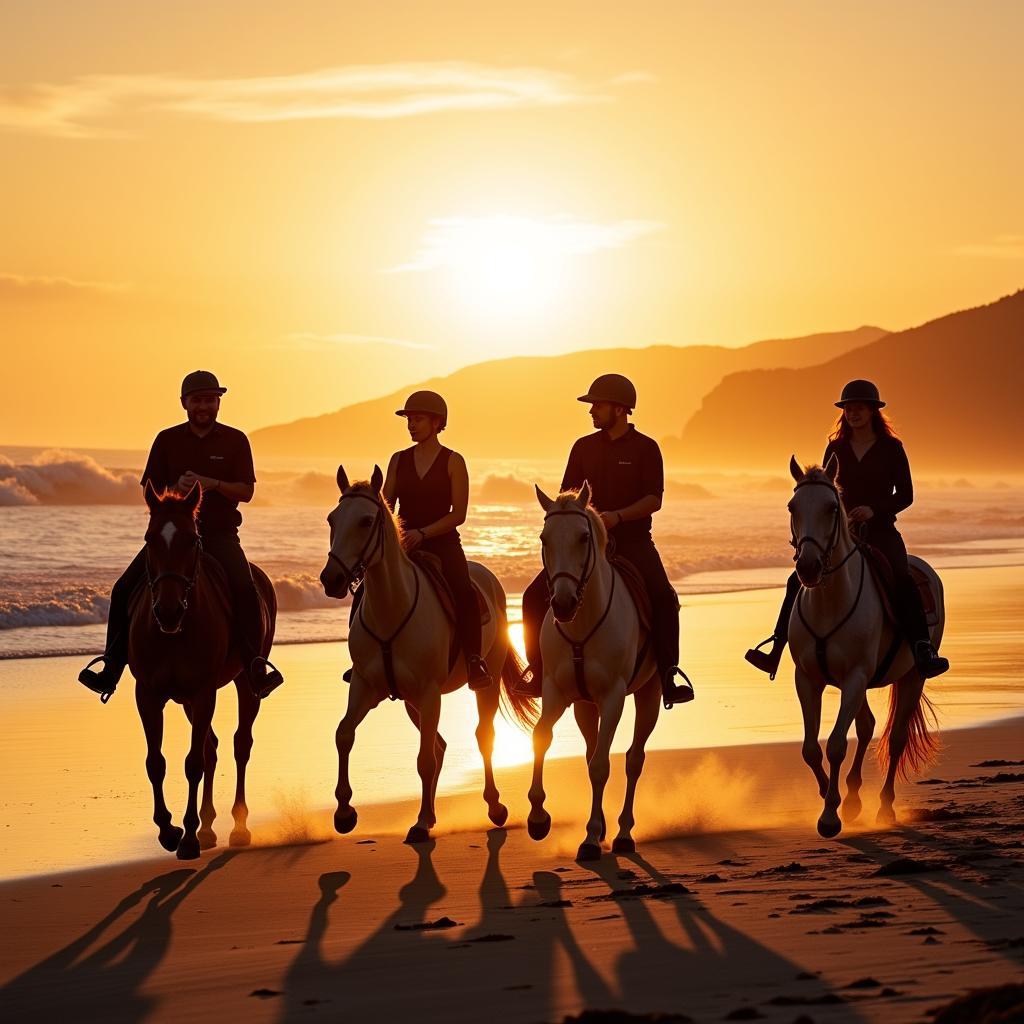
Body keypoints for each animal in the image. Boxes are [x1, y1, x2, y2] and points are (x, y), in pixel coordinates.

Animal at [131, 483, 276, 860]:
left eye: (191, 540)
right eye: (150, 538)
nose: (167, 611)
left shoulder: (203, 691)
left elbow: (193, 762)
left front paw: (187, 839)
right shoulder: (148, 695)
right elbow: (156, 762)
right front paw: (169, 830)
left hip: (245, 681)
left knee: (241, 744)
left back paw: (238, 827)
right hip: (185, 701)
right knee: (212, 746)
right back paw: (208, 826)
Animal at [321, 468, 540, 843]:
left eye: (366, 521)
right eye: (332, 519)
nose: (330, 579)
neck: (391, 608)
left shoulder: (429, 692)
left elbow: (424, 760)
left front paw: (421, 824)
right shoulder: (365, 686)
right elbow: (343, 734)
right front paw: (344, 813)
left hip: (481, 682)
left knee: (482, 737)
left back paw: (494, 807)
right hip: (412, 702)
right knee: (439, 745)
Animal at [524, 483, 659, 860]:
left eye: (584, 537)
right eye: (544, 538)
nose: (562, 604)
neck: (583, 620)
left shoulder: (613, 696)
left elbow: (601, 766)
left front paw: (590, 837)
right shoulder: (556, 691)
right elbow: (541, 737)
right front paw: (538, 818)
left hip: (651, 693)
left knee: (633, 759)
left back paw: (624, 833)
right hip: (584, 706)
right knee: (590, 751)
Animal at [782, 458, 942, 839]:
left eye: (831, 508)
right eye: (793, 507)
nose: (807, 567)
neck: (829, 601)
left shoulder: (854, 677)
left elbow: (837, 744)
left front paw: (829, 816)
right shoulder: (808, 679)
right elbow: (811, 749)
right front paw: (831, 797)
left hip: (912, 676)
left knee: (896, 738)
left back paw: (884, 807)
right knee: (868, 725)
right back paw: (854, 800)